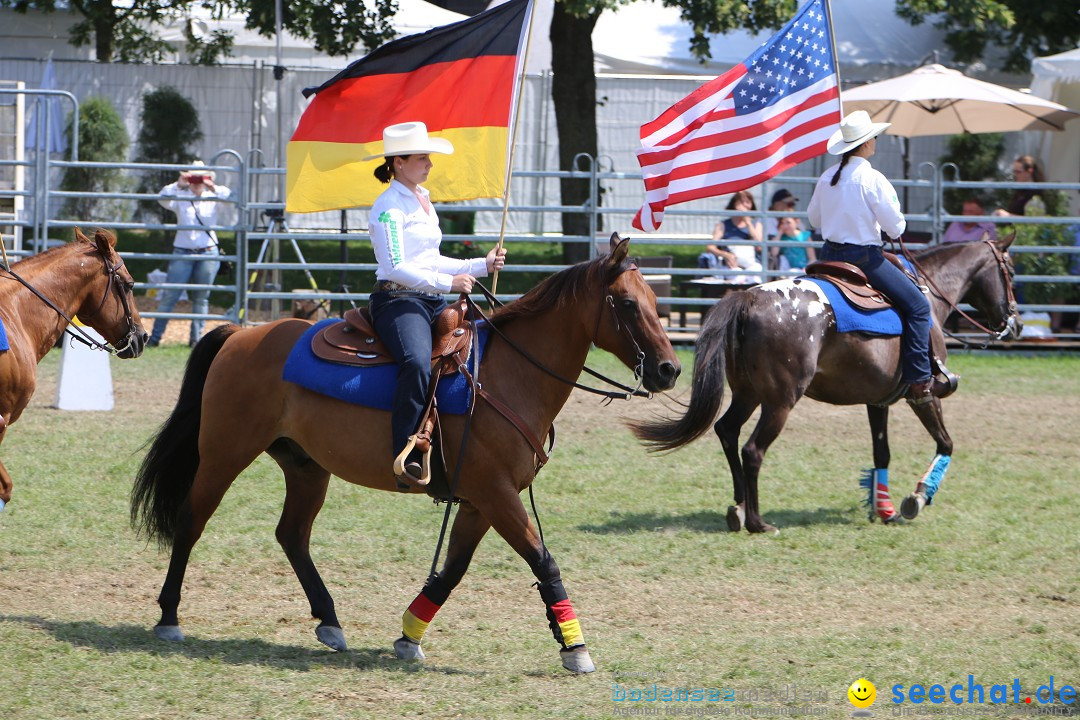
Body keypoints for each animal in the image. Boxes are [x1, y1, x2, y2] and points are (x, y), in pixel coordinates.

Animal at [130, 236, 678, 677]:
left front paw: (409, 636)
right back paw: (170, 617)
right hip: (225, 453)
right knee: (192, 520)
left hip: (306, 467)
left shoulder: (480, 501)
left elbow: (452, 570)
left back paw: (330, 622)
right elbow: (542, 559)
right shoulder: (496, 494)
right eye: (627, 304)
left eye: (655, 301)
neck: (507, 375)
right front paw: (575, 648)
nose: (669, 370)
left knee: (292, 535)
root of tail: (240, 333)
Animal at [630, 236, 1015, 535]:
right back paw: (758, 522)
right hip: (780, 401)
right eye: (1009, 271)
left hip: (748, 393)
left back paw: (737, 510)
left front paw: (885, 509)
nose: (1013, 323)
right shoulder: (923, 394)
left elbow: (882, 452)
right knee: (753, 450)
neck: (929, 294)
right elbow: (946, 443)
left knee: (727, 431)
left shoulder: (878, 401)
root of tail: (747, 299)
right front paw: (917, 498)